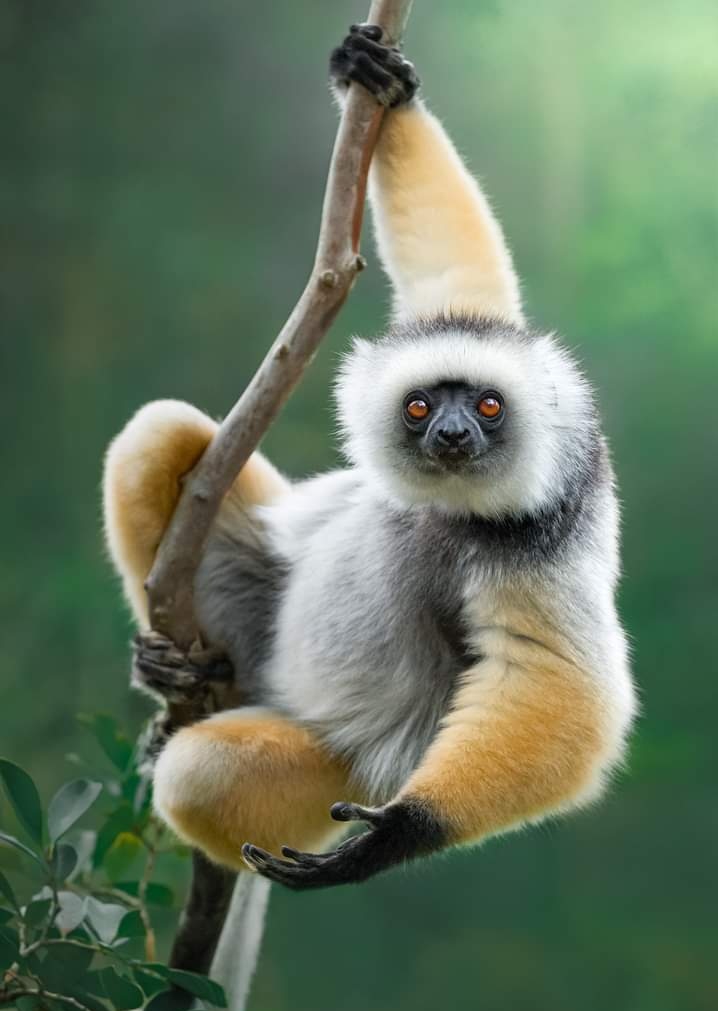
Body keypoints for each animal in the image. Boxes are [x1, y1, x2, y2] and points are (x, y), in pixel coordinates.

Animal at [102, 25, 636, 891]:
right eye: (422, 405)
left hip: (336, 767)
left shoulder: (542, 525)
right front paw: (381, 82)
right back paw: (180, 675)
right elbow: (456, 278)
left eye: (487, 408)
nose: (452, 436)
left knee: (204, 773)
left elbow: (559, 688)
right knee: (165, 432)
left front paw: (389, 840)